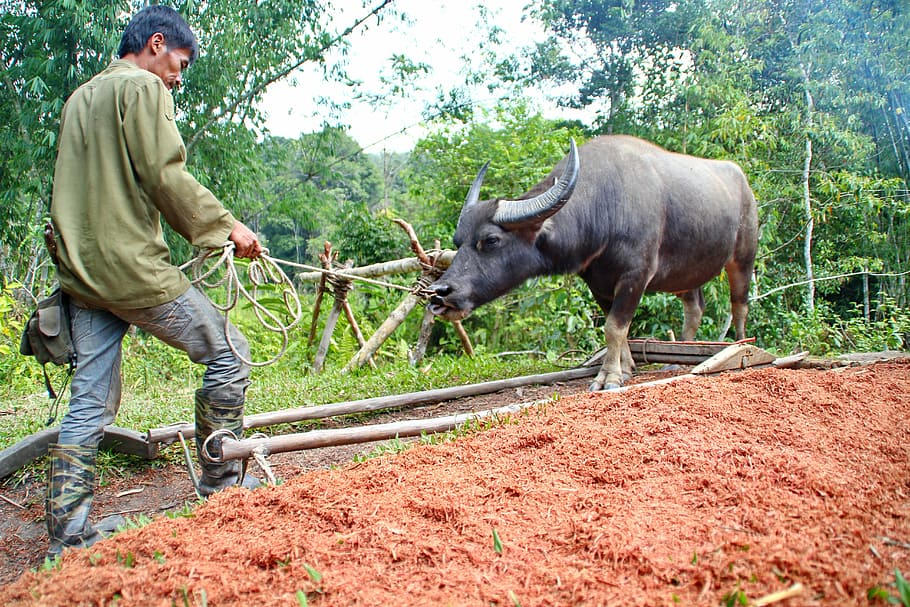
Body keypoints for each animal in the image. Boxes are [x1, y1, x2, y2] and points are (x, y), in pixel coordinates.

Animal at [428, 134, 764, 390]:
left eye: (490, 240)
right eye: (458, 241)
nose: (439, 293)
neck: (607, 206)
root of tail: (744, 184)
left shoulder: (635, 275)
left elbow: (615, 327)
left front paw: (609, 377)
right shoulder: (598, 283)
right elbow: (618, 329)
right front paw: (625, 369)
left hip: (743, 257)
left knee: (739, 304)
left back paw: (741, 346)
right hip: (687, 272)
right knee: (694, 308)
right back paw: (677, 357)